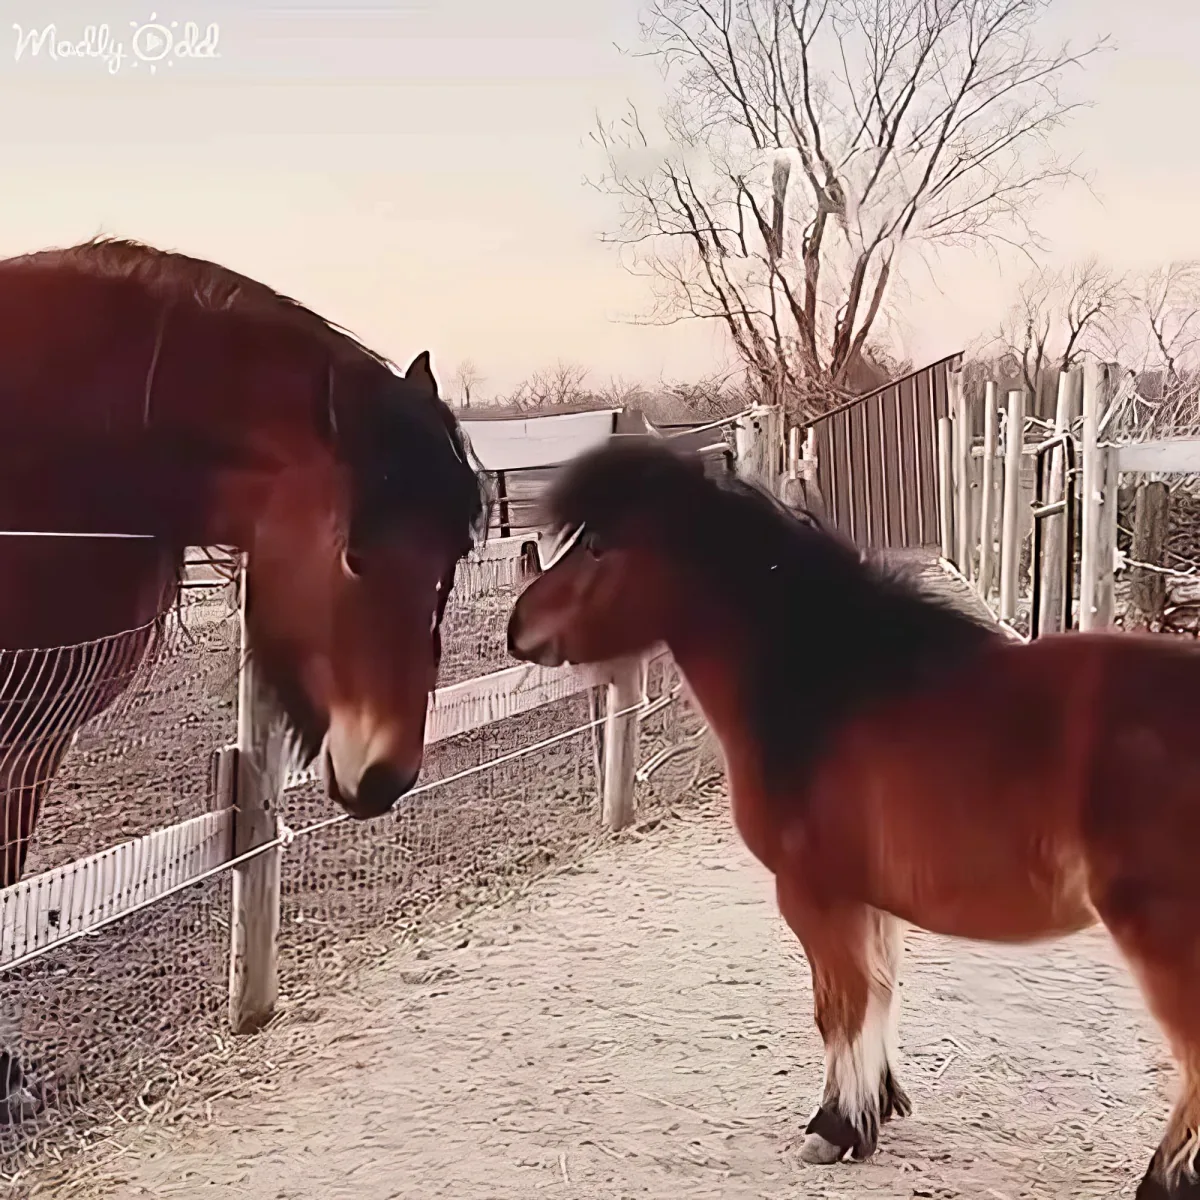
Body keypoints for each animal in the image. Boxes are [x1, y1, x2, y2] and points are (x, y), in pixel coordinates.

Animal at [506, 436, 1200, 1200]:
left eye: (599, 544)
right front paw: (881, 1106)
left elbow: (838, 1007)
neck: (831, 690)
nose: (517, 630)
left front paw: (834, 1127)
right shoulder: (872, 901)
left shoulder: (815, 895)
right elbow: (880, 995)